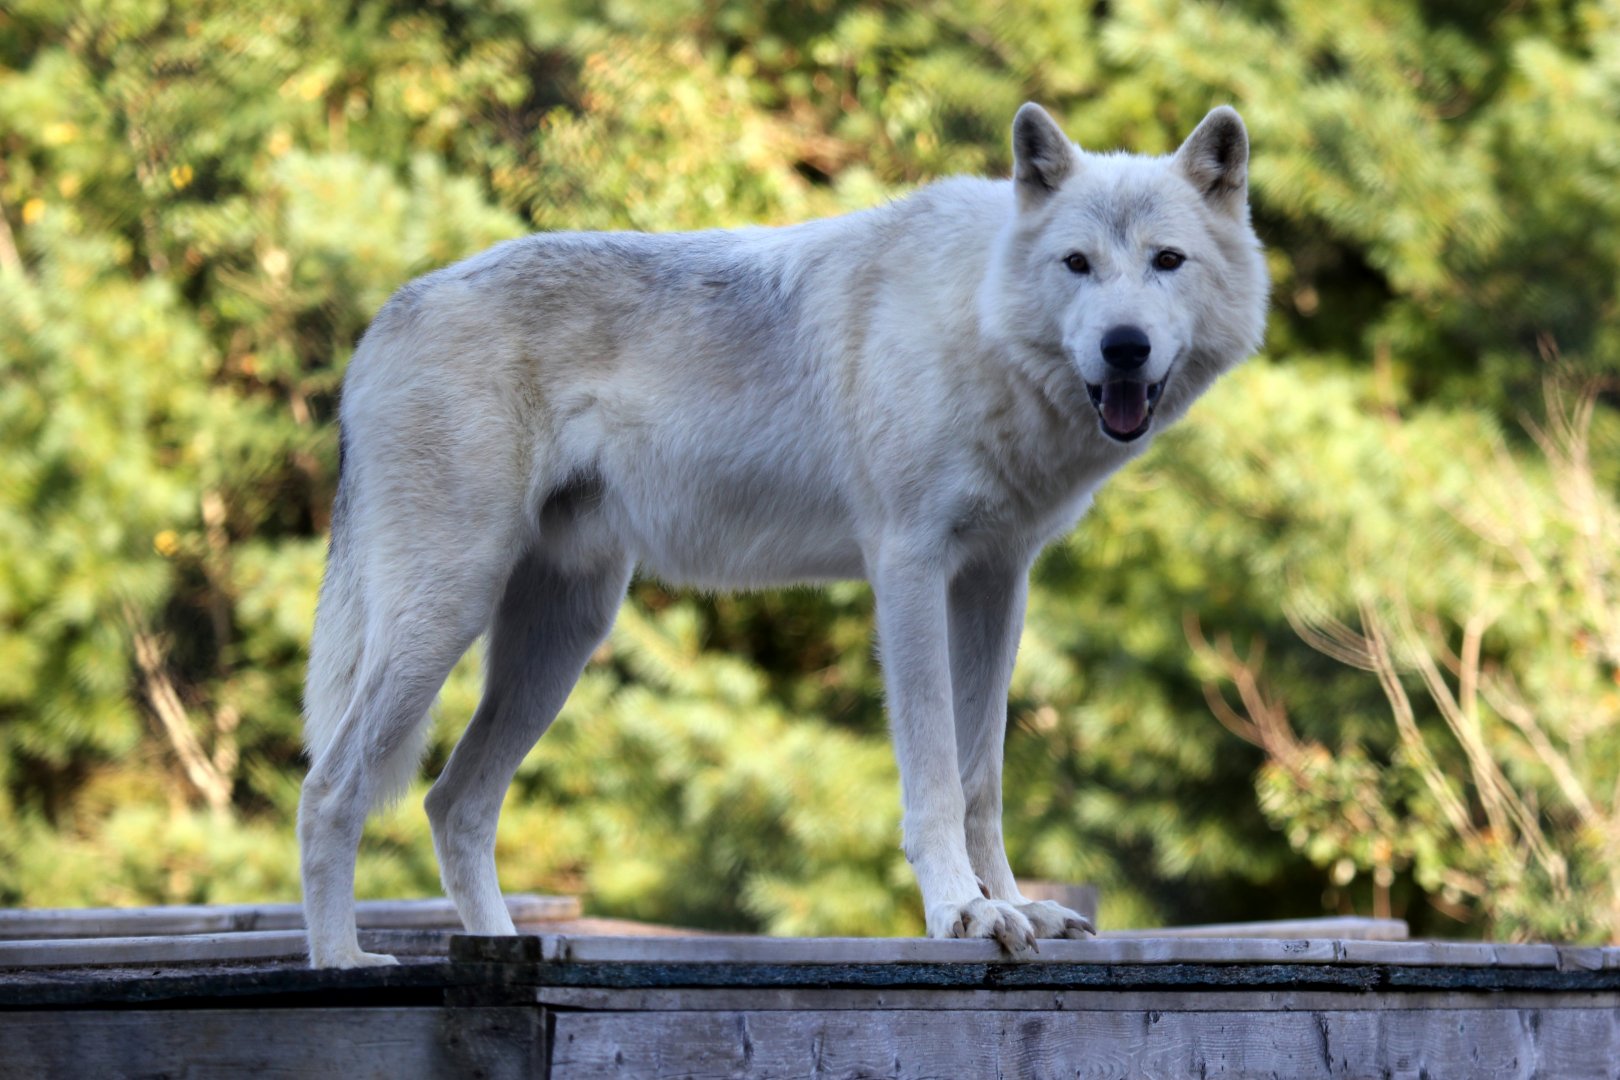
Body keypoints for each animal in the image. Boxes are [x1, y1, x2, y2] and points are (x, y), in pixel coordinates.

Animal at [299, 103, 1268, 968]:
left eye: (1166, 261)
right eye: (1077, 264)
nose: (1124, 345)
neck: (977, 321)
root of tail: (385, 317)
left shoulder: (998, 581)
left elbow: (981, 779)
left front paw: (1015, 904)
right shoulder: (909, 568)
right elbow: (933, 774)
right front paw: (962, 912)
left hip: (562, 637)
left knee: (452, 803)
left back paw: (500, 952)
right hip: (449, 611)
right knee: (330, 787)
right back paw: (341, 962)